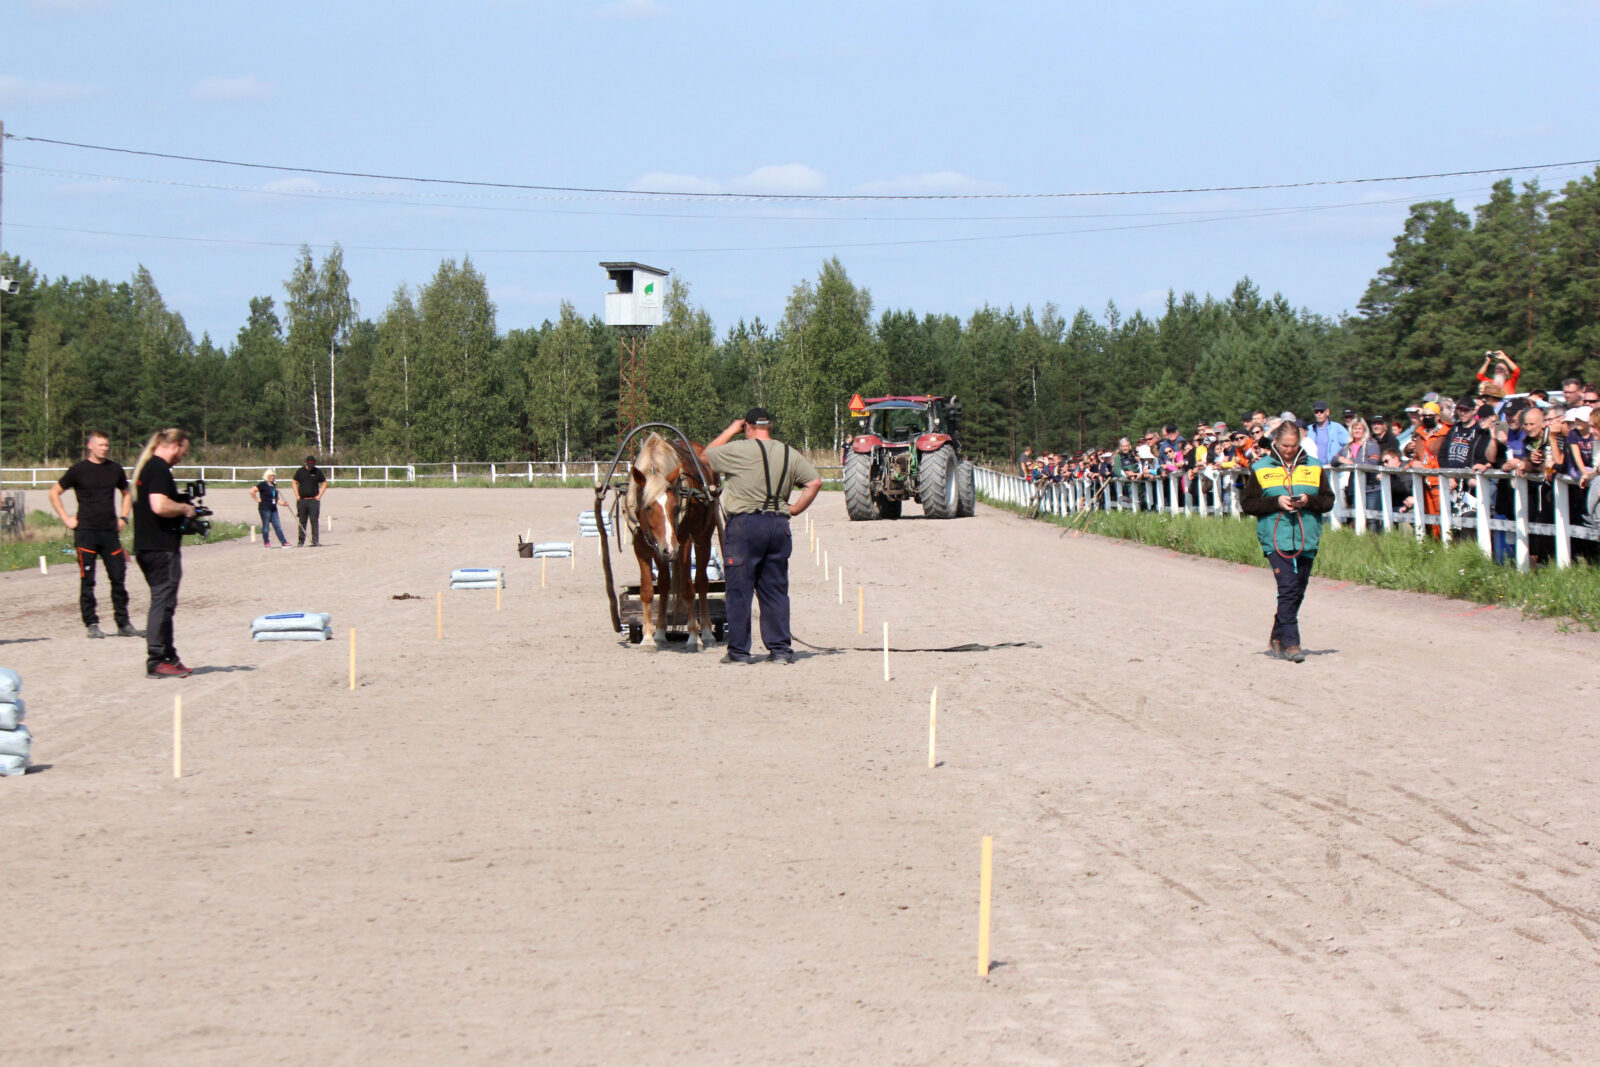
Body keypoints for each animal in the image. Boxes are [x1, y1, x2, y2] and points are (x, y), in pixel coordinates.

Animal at [624, 435, 720, 652]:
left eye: (676, 506)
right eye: (648, 507)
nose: (670, 548)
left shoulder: (683, 541)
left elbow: (687, 588)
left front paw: (693, 636)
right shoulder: (642, 545)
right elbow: (648, 590)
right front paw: (648, 637)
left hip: (702, 537)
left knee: (701, 582)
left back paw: (707, 632)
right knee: (664, 583)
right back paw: (660, 633)